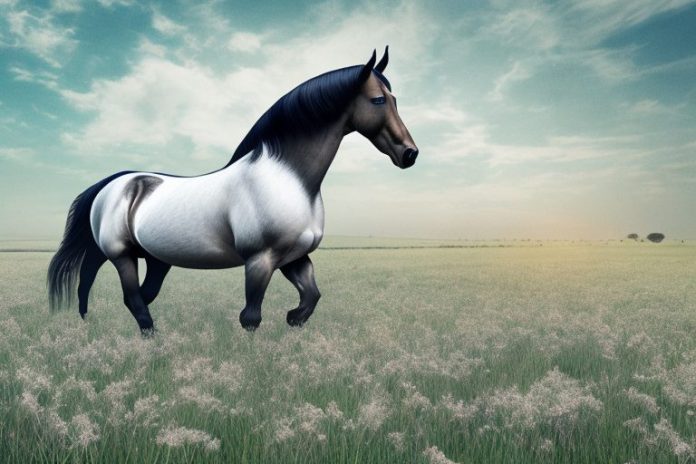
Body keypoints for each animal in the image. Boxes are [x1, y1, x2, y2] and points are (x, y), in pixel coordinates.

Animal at [47, 47, 419, 333]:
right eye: (377, 100)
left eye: (395, 98)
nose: (409, 154)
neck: (288, 178)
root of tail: (113, 183)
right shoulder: (260, 259)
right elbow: (251, 317)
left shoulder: (294, 258)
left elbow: (312, 297)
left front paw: (293, 319)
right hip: (121, 254)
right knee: (128, 294)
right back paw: (146, 336)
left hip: (152, 258)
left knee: (110, 283)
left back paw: (92, 323)